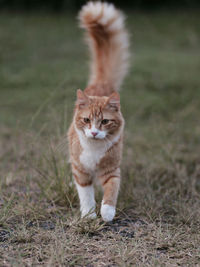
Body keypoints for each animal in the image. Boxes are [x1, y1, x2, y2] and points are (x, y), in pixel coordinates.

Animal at [67, 1, 130, 223]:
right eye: (87, 120)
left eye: (104, 122)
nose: (94, 132)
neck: (94, 149)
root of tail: (101, 86)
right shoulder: (81, 171)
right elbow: (86, 194)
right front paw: (88, 215)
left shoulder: (112, 171)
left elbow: (111, 191)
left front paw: (107, 212)